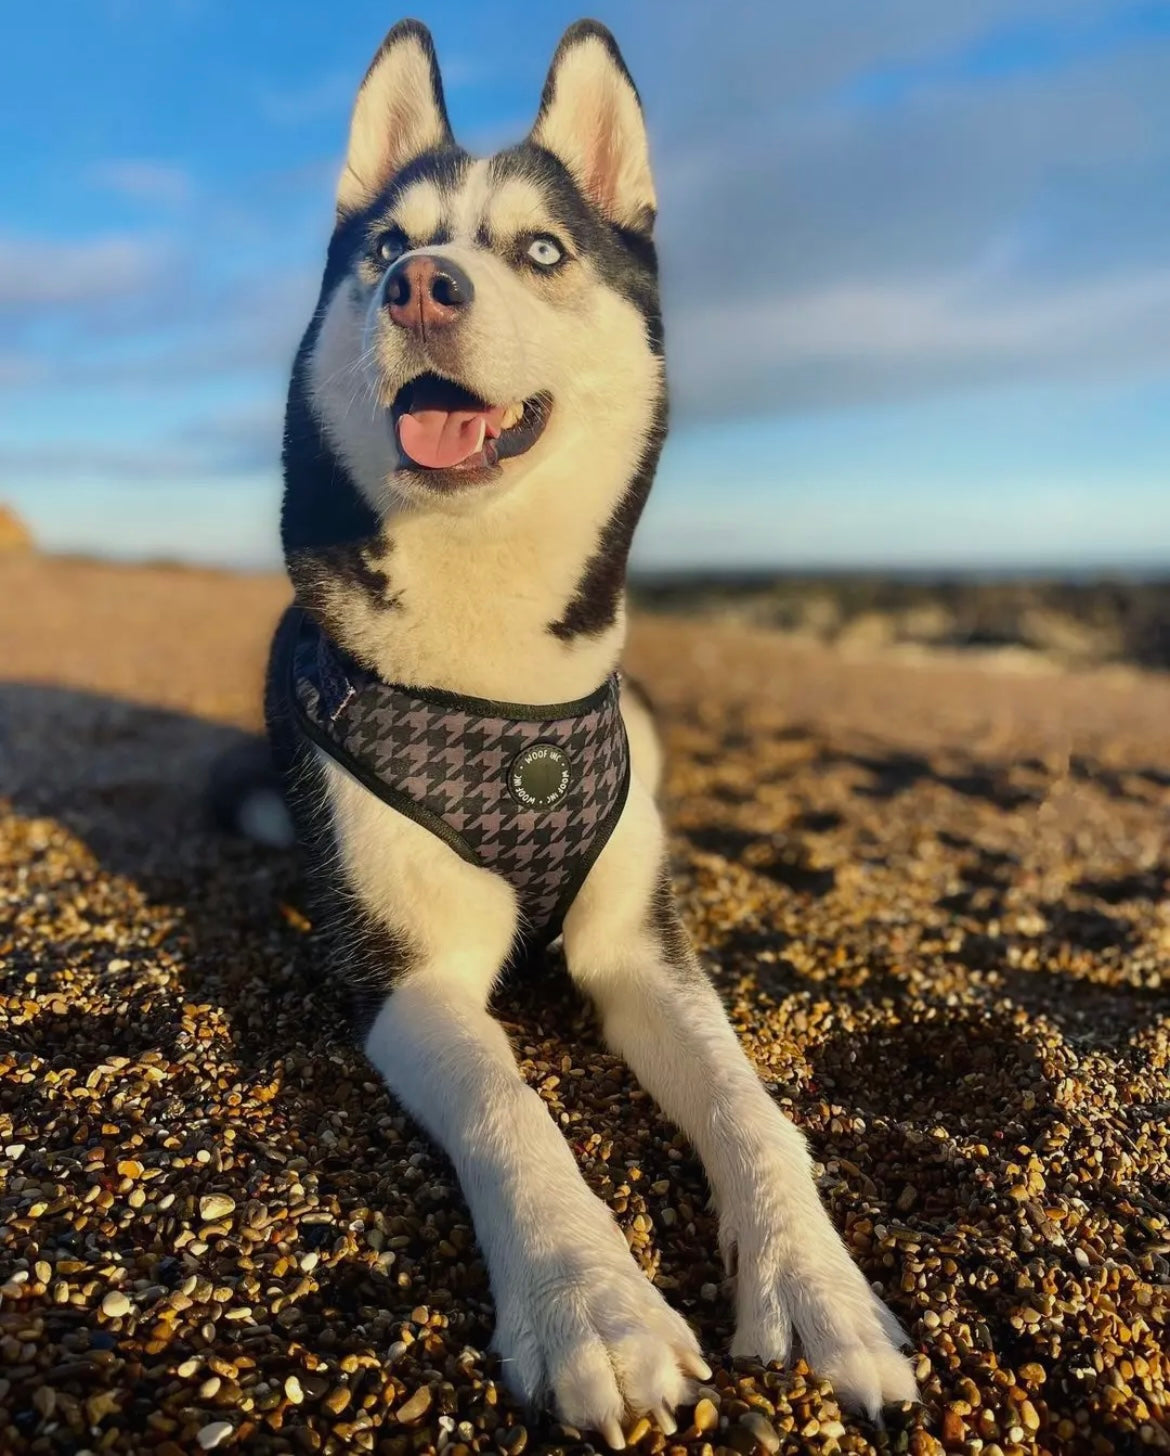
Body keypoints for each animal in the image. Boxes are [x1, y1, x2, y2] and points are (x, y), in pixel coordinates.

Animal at [251, 22, 919, 1444]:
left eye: (543, 250)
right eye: (386, 248)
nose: (421, 288)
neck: (498, 670)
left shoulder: (637, 941)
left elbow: (750, 1107)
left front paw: (817, 1283)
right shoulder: (404, 970)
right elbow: (516, 1108)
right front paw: (594, 1310)